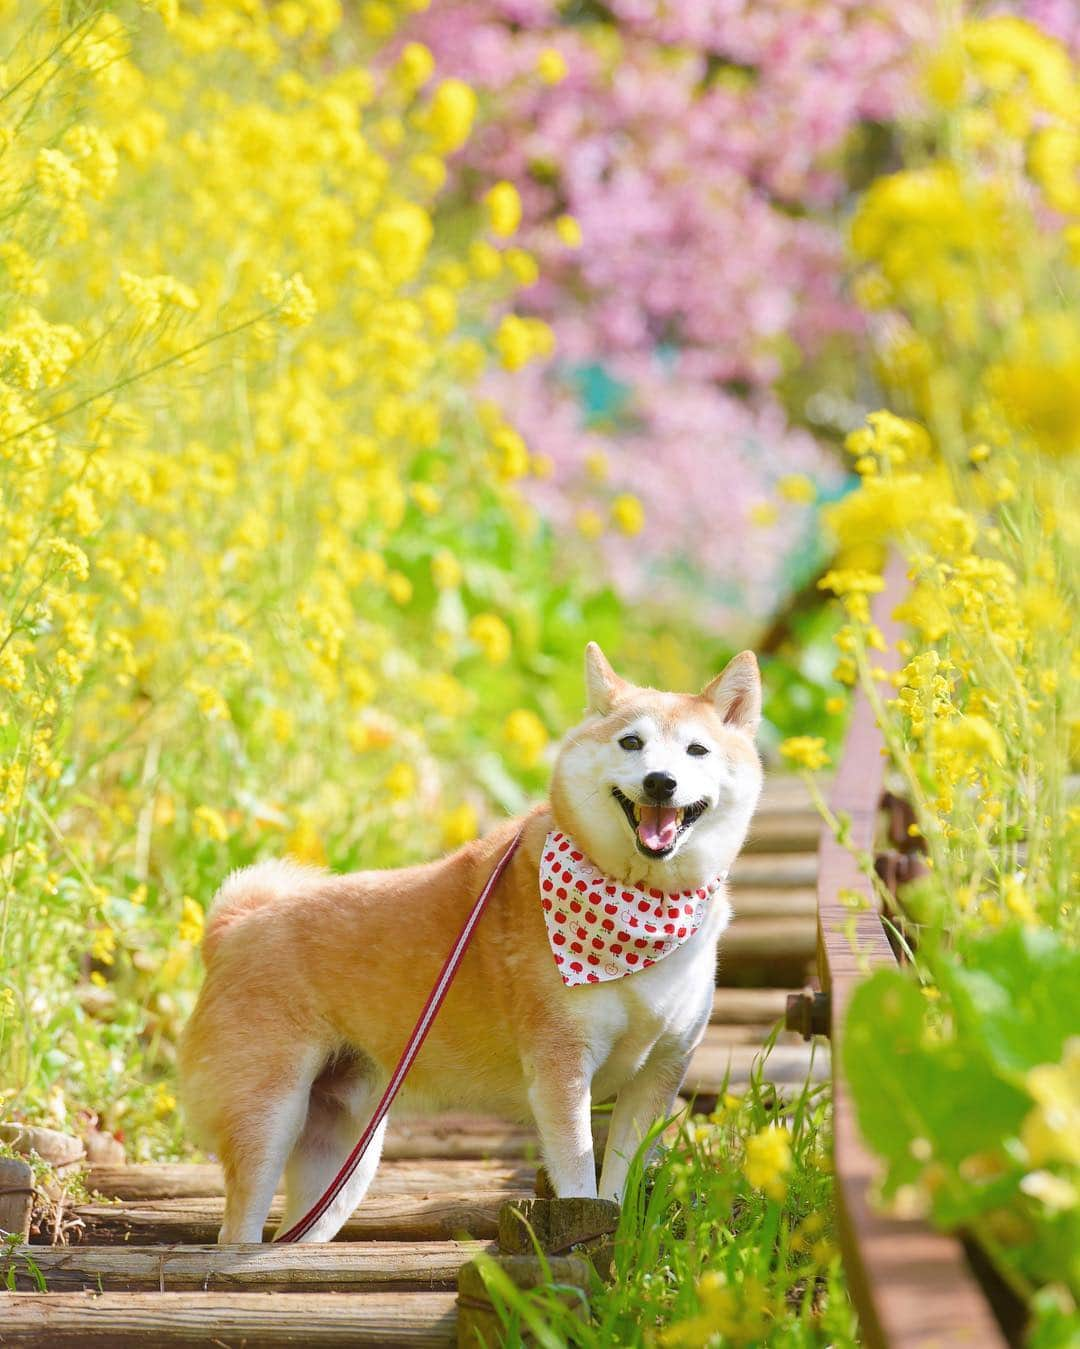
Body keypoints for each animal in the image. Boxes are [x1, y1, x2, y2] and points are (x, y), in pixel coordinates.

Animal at [179, 642, 760, 1241]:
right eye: (631, 743)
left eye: (696, 750)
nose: (661, 781)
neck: (644, 909)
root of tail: (233, 928)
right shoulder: (562, 1068)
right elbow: (578, 1176)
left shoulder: (658, 1073)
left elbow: (618, 1185)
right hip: (268, 1118)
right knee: (239, 1230)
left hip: (343, 1159)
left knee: (297, 1236)